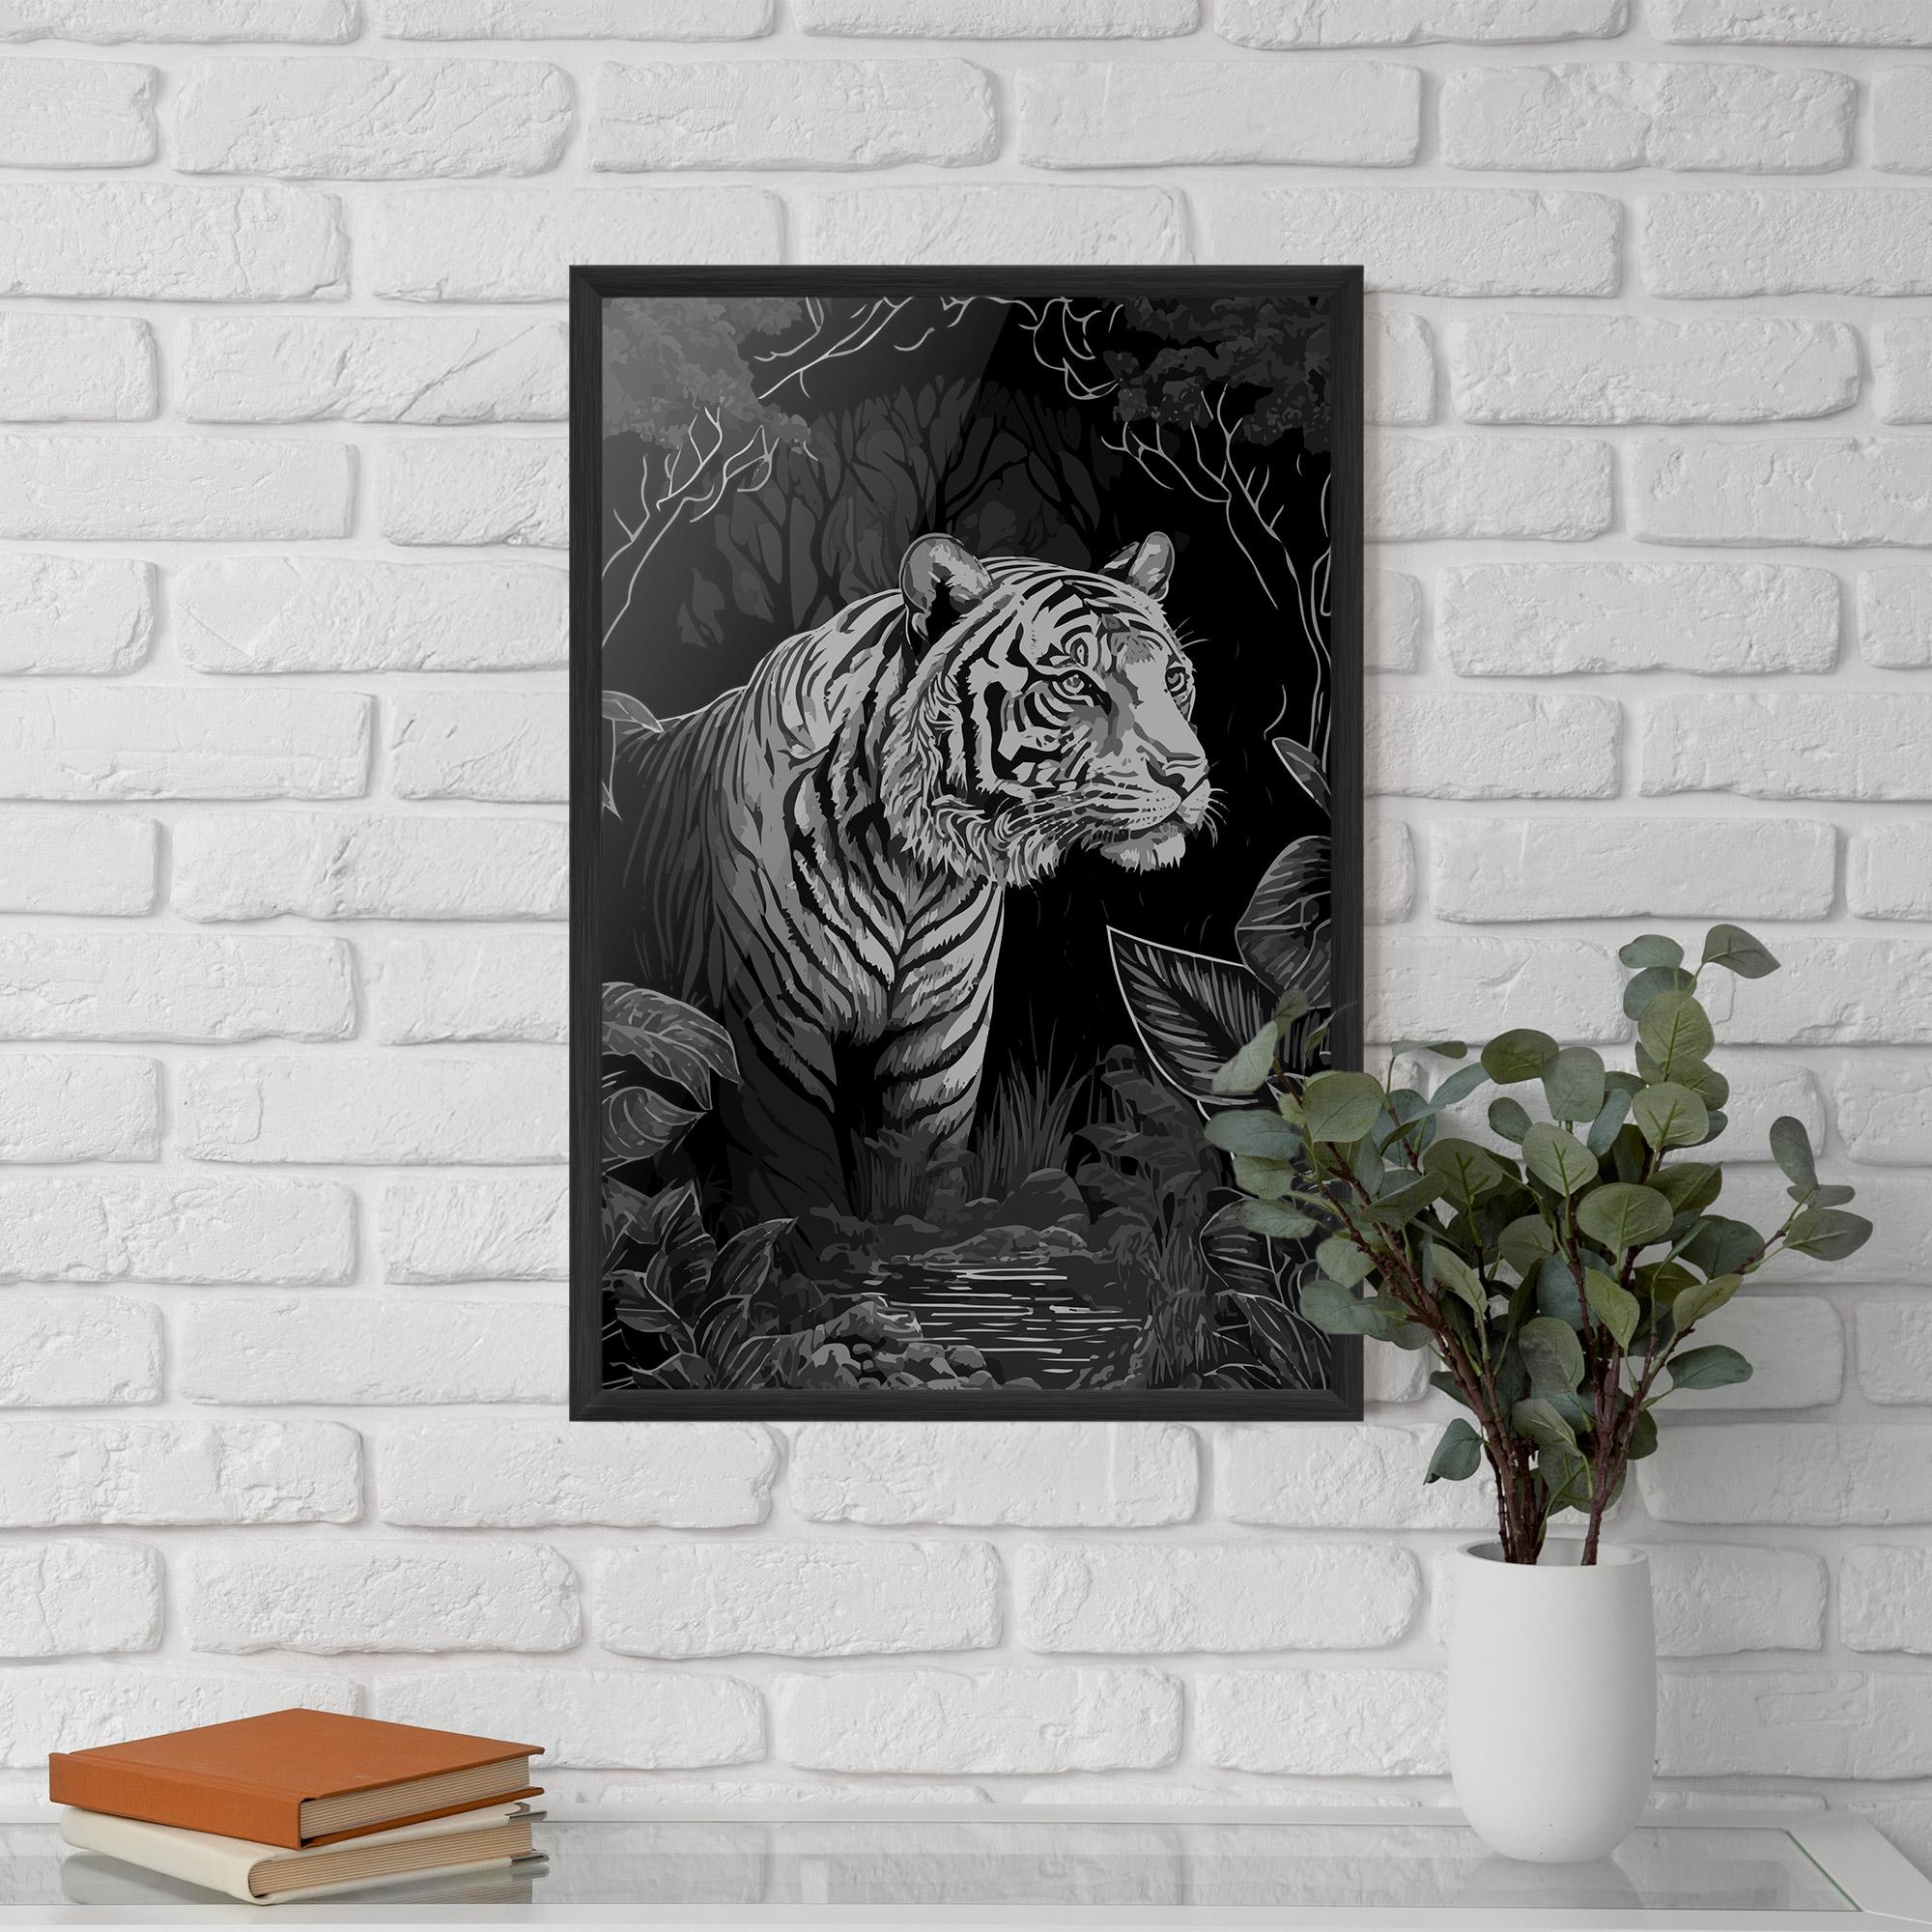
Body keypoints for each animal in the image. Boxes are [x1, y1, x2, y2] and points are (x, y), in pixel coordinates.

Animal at [612, 531, 1212, 1220]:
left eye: (1173, 679)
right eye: (1074, 682)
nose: (1189, 775)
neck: (915, 868)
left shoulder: (943, 1038)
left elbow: (924, 1176)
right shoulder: (771, 1031)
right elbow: (794, 1189)